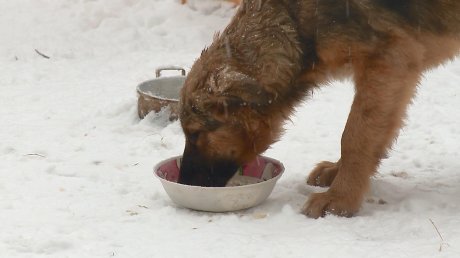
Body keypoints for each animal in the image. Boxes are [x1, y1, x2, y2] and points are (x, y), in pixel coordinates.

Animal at [177, 0, 460, 218]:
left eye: (195, 134)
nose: (182, 183)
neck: (294, 22)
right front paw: (337, 172)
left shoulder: (389, 60)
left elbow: (355, 136)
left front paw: (341, 199)